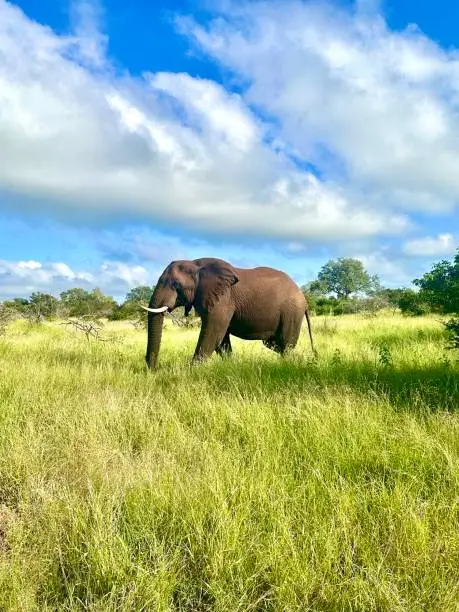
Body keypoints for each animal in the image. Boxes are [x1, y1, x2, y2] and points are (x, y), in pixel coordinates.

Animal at [143, 256, 316, 370]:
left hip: (292, 312)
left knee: (286, 345)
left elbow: (213, 334)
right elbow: (221, 339)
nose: (153, 370)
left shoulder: (223, 299)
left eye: (176, 285)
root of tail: (303, 297)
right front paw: (232, 366)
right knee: (275, 344)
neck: (195, 264)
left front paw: (190, 371)